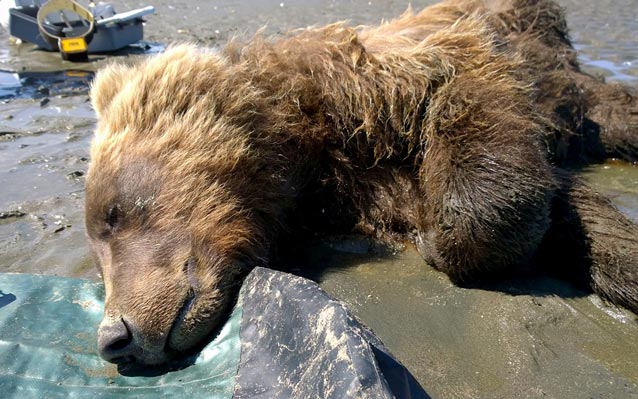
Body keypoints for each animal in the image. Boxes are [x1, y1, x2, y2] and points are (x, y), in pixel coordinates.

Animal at [86, 0, 638, 368]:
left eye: (114, 214)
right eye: (97, 252)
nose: (113, 339)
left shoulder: (396, 75)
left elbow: (471, 94)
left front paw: (446, 241)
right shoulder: (372, 187)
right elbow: (569, 211)